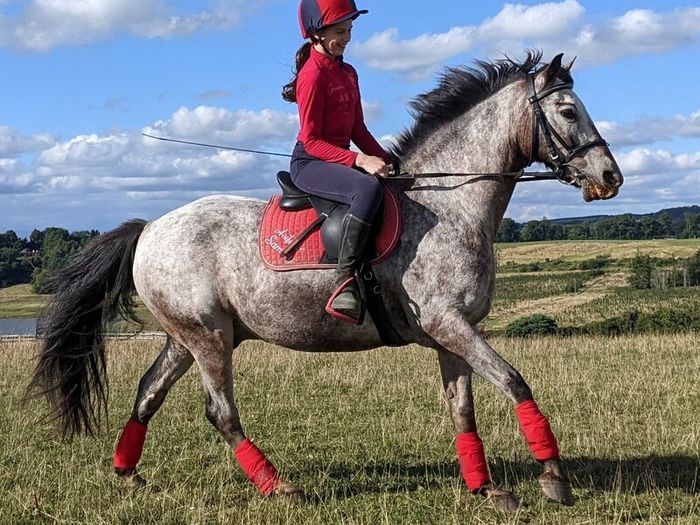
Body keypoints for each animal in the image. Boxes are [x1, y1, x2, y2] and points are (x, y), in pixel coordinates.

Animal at [30, 52, 623, 511]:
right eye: (568, 110)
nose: (611, 177)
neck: (447, 206)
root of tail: (150, 228)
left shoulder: (450, 333)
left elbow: (463, 408)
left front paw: (486, 489)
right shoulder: (449, 324)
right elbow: (516, 382)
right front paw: (554, 479)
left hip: (190, 336)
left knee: (148, 392)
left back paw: (128, 473)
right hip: (208, 339)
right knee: (220, 411)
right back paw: (279, 487)